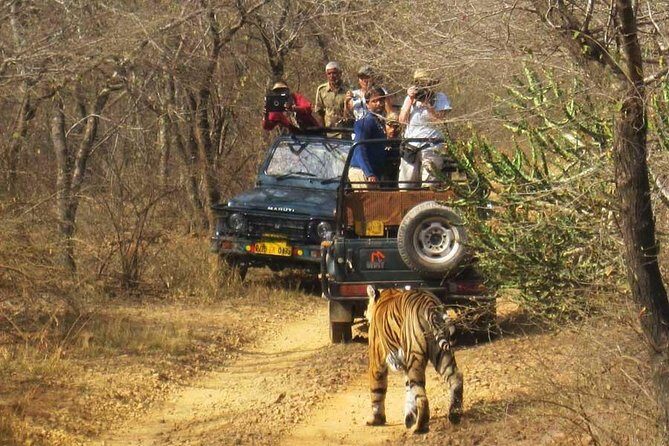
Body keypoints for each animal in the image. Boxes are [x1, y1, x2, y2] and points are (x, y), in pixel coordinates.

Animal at [365, 287, 463, 434]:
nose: (365, 312)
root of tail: (430, 304)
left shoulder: (377, 361)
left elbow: (377, 390)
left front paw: (376, 420)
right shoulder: (405, 364)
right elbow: (409, 390)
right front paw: (409, 417)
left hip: (415, 358)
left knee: (422, 397)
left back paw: (419, 428)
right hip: (441, 354)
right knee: (456, 378)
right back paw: (455, 415)